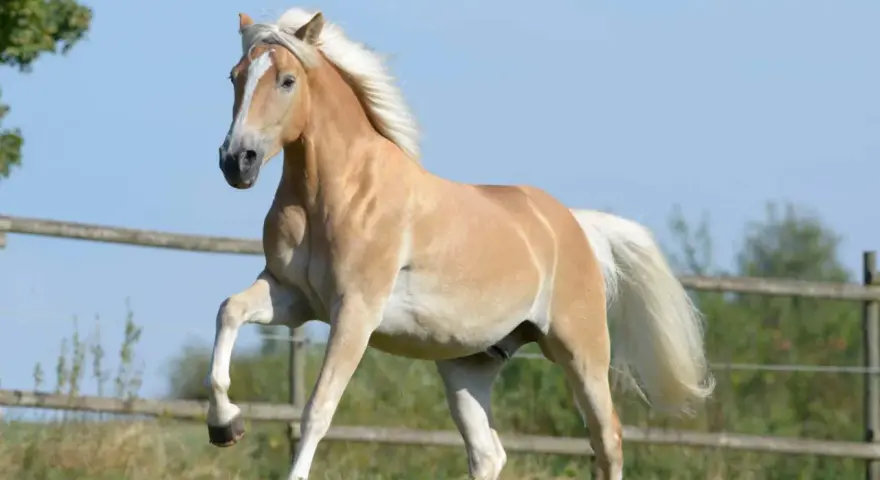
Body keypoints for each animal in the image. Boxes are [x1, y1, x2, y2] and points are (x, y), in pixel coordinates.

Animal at [205, 7, 715, 480]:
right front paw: (225, 426)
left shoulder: (354, 313)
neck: (336, 192)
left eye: (287, 80)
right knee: (489, 452)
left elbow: (317, 411)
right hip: (467, 365)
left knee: (607, 439)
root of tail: (575, 225)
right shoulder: (292, 297)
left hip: (580, 350)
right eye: (234, 76)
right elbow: (229, 310)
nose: (236, 161)